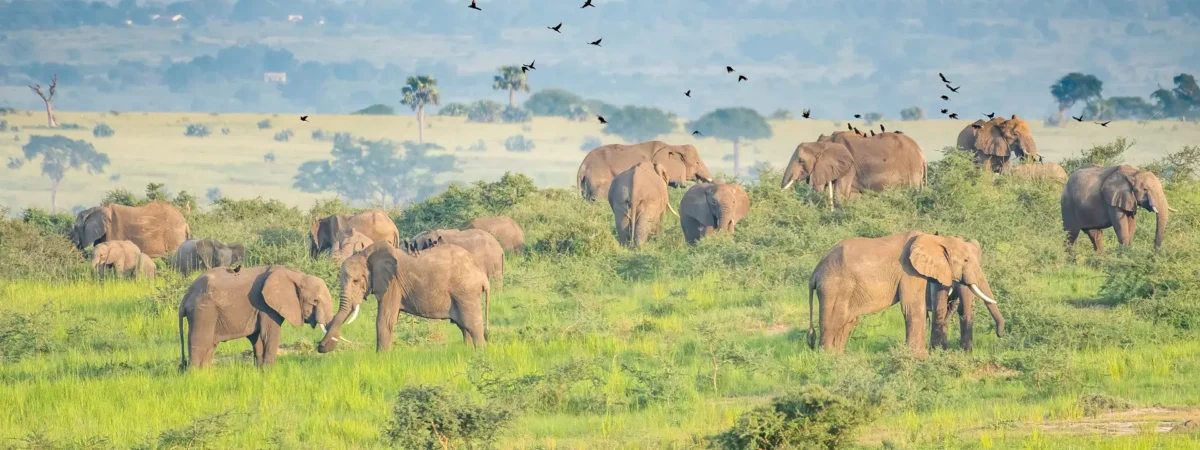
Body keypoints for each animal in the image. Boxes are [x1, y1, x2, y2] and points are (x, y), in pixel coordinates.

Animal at [178, 265, 334, 369]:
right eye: (315, 301)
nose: (320, 346)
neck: (296, 274)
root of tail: (186, 297)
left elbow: (258, 338)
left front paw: (261, 371)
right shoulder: (266, 306)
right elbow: (269, 335)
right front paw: (269, 371)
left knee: (210, 346)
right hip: (203, 311)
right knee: (200, 343)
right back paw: (194, 375)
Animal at [317, 241, 491, 353]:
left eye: (356, 281)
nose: (320, 347)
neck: (367, 253)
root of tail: (482, 274)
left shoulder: (393, 284)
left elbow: (384, 320)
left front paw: (381, 358)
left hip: (466, 291)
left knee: (472, 324)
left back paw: (480, 353)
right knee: (464, 326)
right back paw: (468, 351)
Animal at [807, 231, 1003, 358]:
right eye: (966, 260)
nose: (999, 334)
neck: (936, 239)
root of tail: (815, 272)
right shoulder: (910, 271)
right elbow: (913, 308)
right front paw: (919, 356)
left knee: (848, 321)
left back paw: (838, 356)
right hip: (834, 286)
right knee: (835, 319)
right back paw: (827, 358)